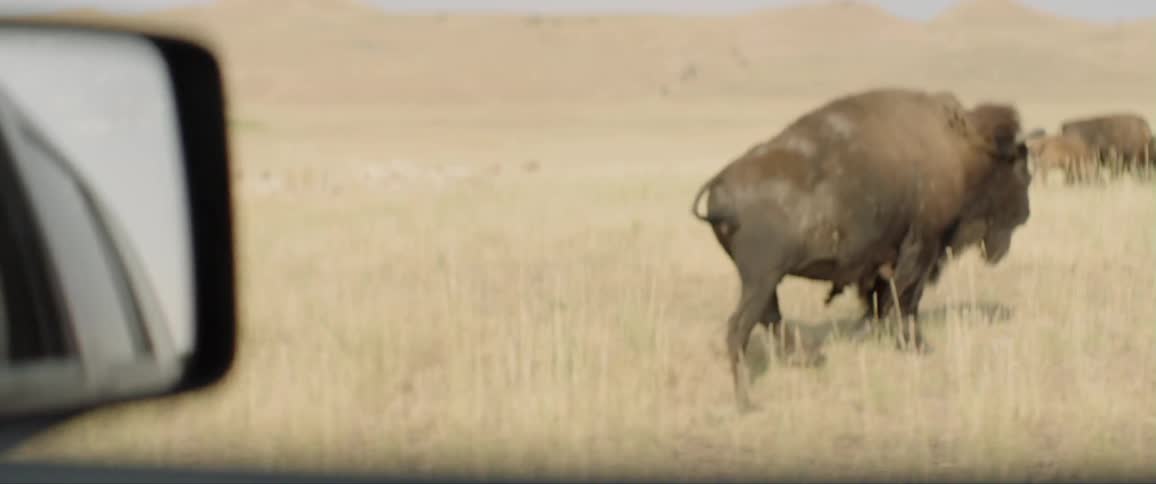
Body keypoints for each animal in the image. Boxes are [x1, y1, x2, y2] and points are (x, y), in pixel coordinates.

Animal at [690, 87, 1035, 411]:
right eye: (1022, 172)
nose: (1026, 213)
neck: (961, 151)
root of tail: (719, 184)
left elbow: (884, 299)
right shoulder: (923, 248)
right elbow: (904, 300)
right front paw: (913, 344)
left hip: (763, 280)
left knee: (768, 317)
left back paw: (808, 358)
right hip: (762, 278)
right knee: (741, 328)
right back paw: (747, 401)